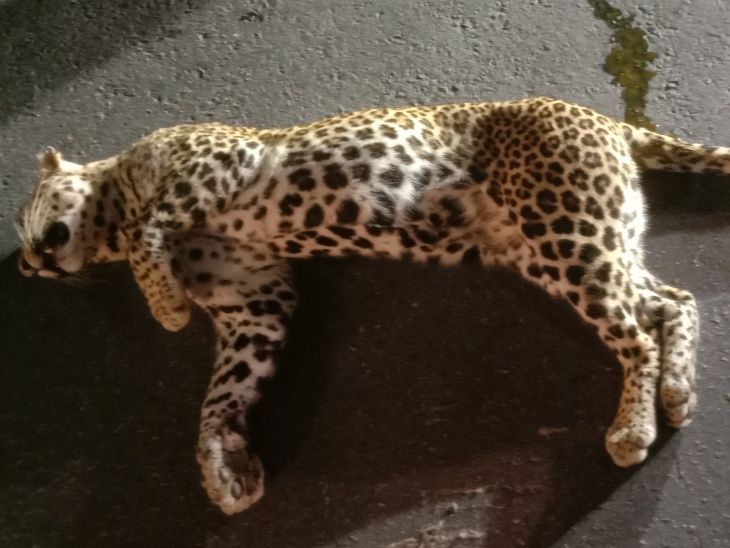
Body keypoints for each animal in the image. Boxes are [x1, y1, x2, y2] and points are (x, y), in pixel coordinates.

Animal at [15, 96, 730, 515]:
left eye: (23, 222)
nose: (24, 265)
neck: (115, 191)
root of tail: (606, 120)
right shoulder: (255, 300)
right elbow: (224, 390)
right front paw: (222, 464)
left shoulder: (216, 163)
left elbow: (148, 233)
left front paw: (166, 305)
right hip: (569, 244)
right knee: (671, 301)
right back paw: (676, 393)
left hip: (568, 230)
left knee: (637, 331)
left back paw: (632, 427)